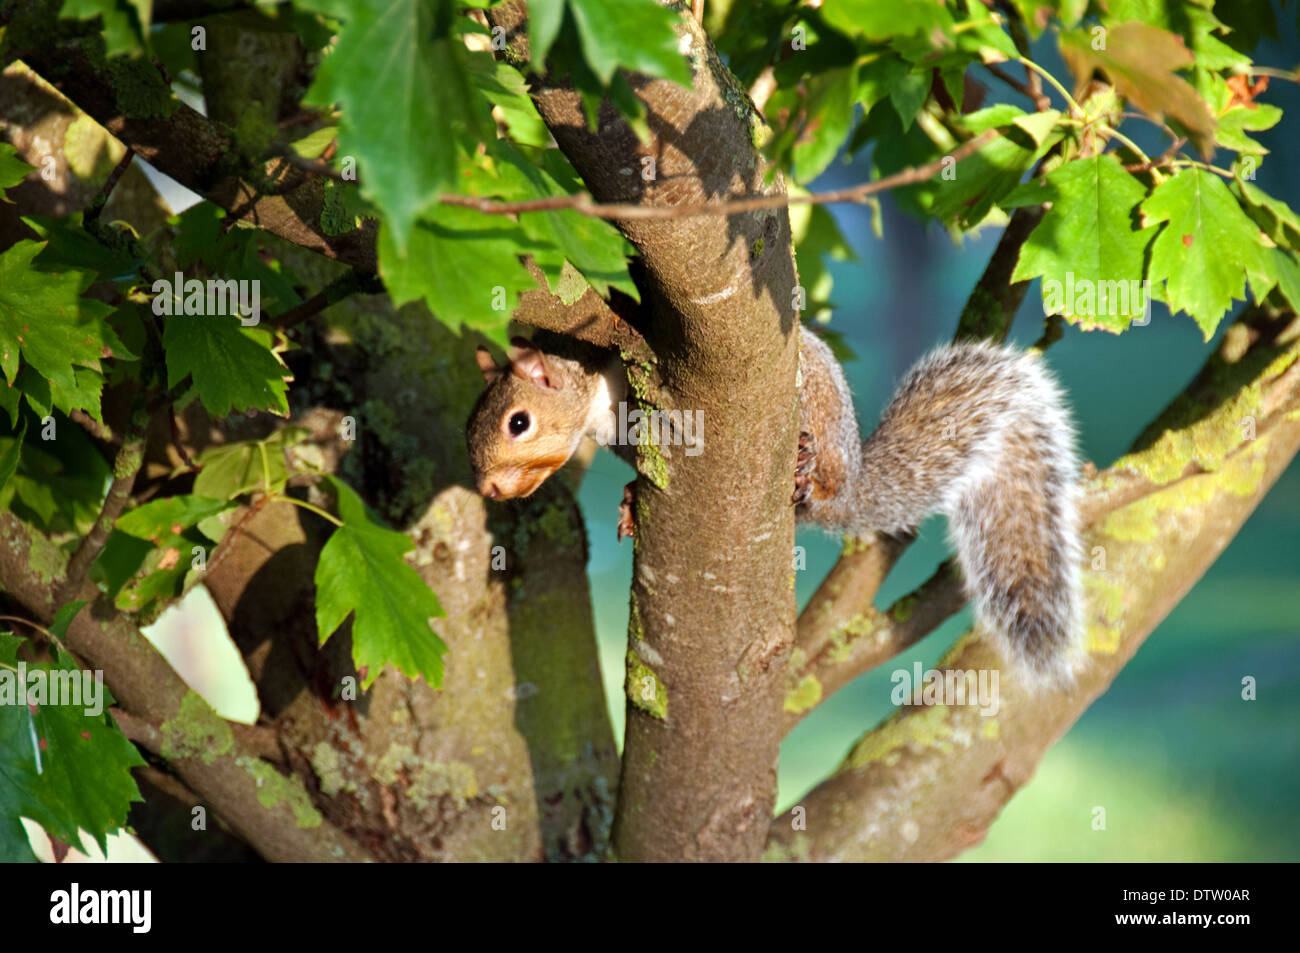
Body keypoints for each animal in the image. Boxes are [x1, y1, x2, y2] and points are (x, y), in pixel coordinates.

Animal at [467, 328, 1086, 686]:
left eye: (518, 423)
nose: (490, 490)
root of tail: (852, 482)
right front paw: (627, 499)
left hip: (816, 412)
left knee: (817, 477)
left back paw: (804, 472)